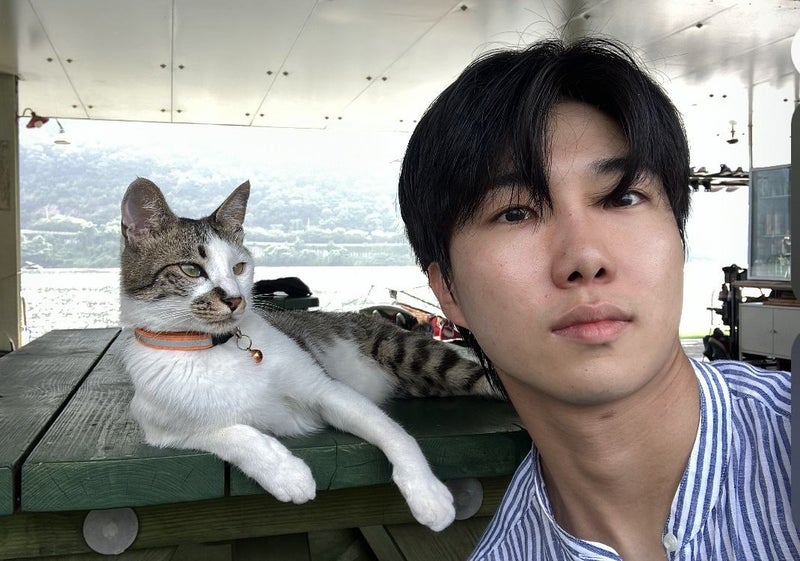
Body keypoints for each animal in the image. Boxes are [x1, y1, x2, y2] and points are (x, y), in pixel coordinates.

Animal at [118, 177, 501, 532]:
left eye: (239, 267)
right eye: (191, 269)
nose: (235, 299)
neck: (213, 348)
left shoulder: (326, 390)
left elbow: (394, 433)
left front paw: (427, 493)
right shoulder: (161, 429)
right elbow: (229, 434)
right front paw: (287, 473)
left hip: (410, 353)